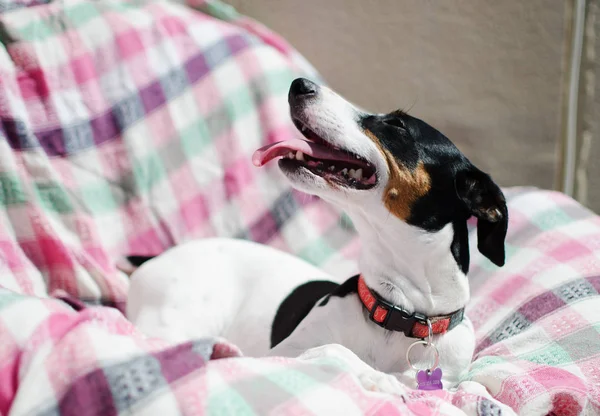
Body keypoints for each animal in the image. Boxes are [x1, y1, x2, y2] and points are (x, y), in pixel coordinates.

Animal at [125, 77, 506, 394]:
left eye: (396, 125)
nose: (300, 83)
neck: (399, 313)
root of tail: (156, 257)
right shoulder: (280, 353)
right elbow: (335, 349)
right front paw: (375, 377)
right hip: (174, 321)